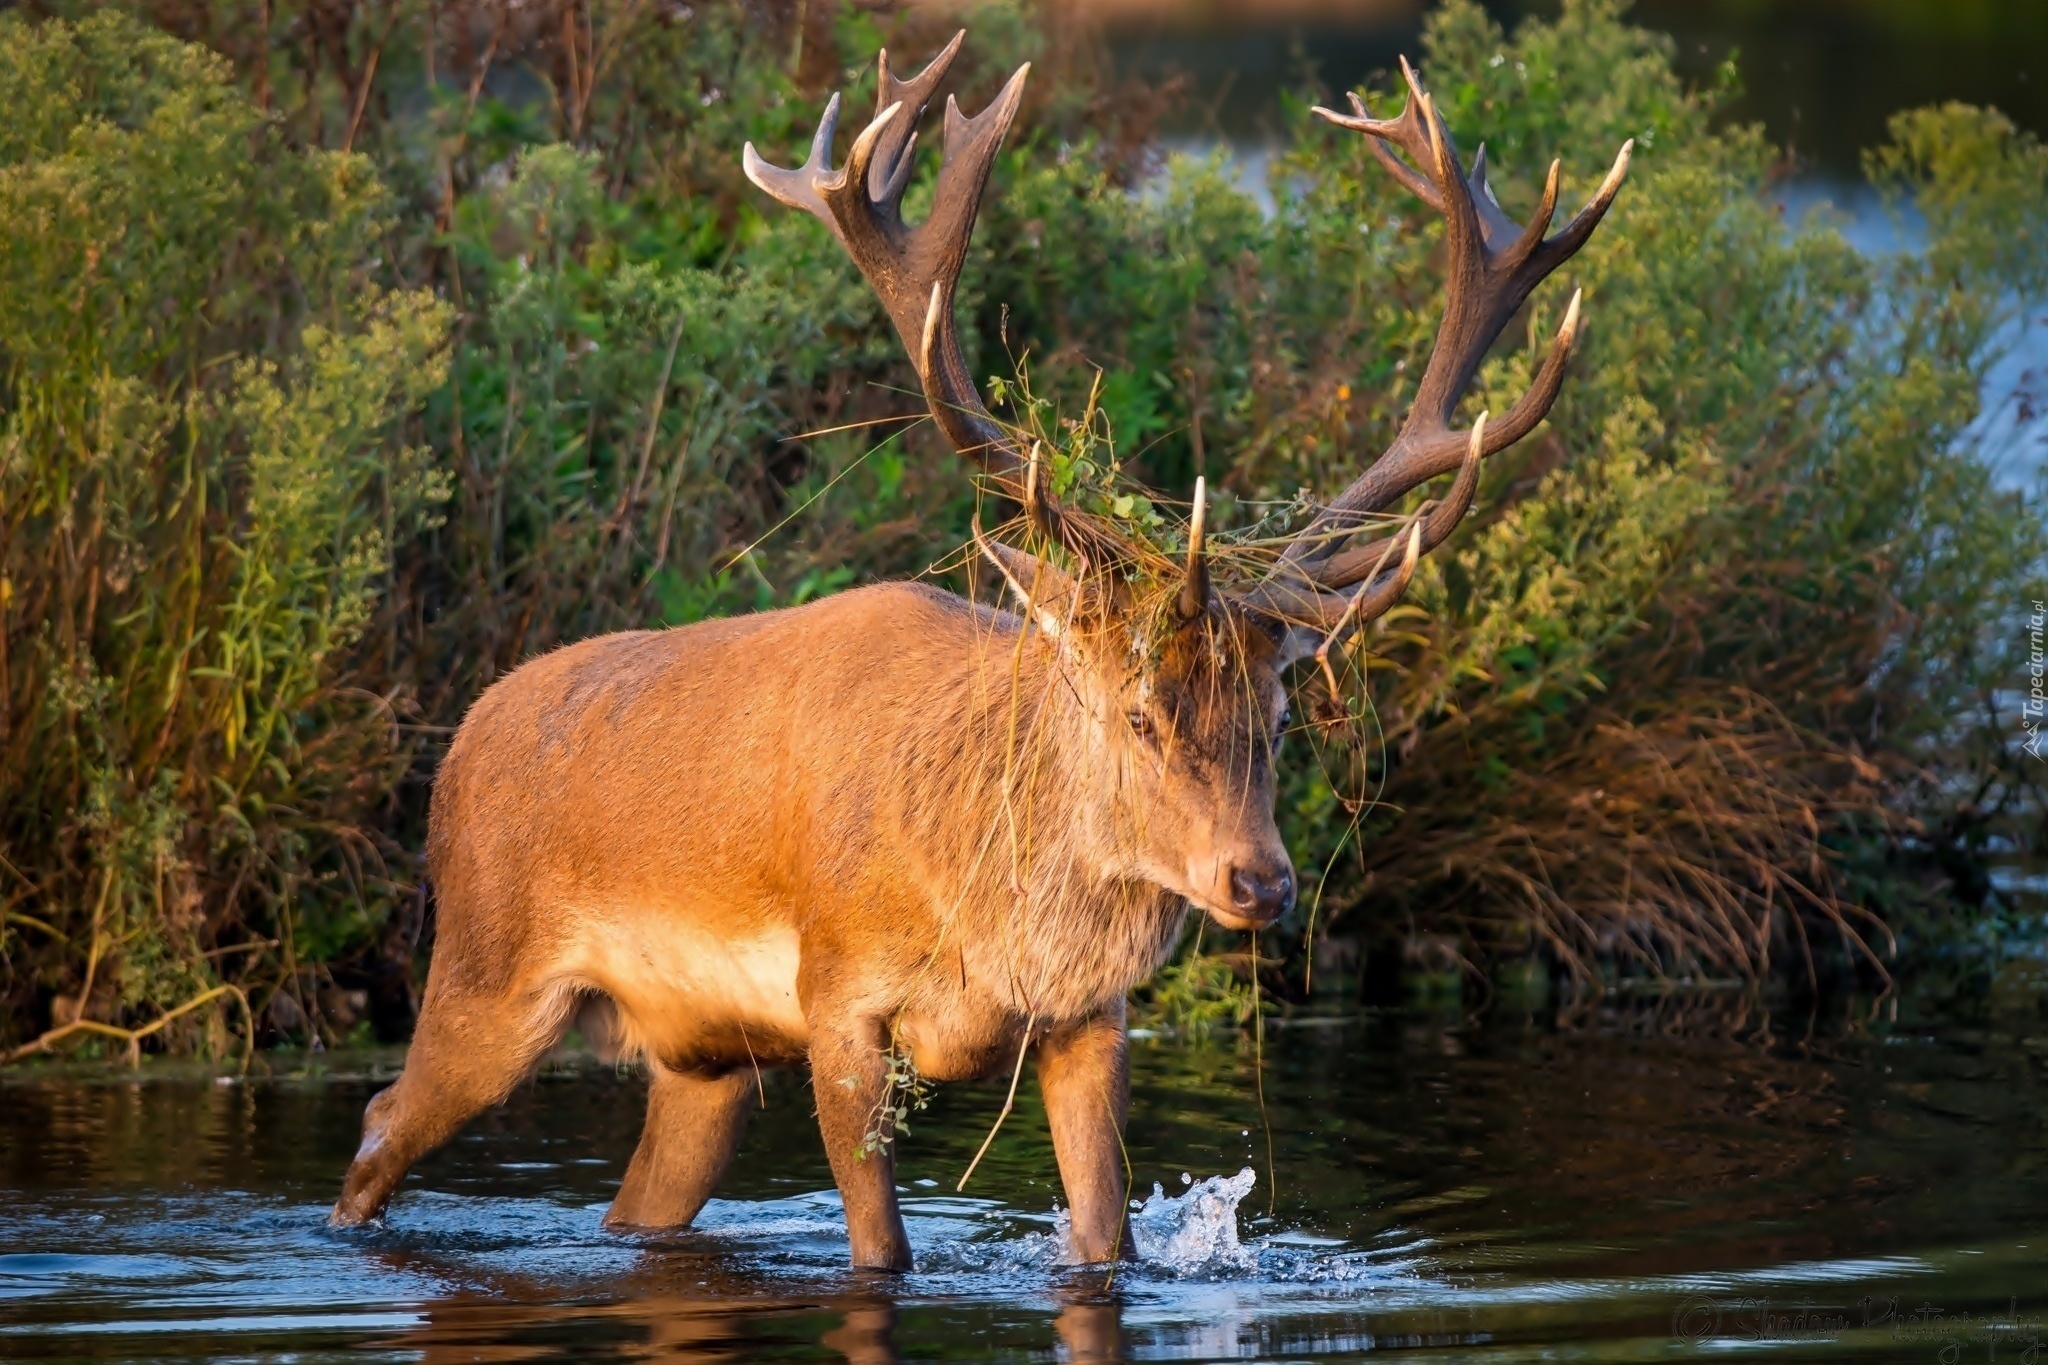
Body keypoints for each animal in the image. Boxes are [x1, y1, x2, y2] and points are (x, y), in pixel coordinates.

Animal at [327, 31, 1622, 1268]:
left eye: (1280, 716)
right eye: (1135, 711)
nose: (1258, 882)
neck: (990, 916)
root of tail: (462, 740)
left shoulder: (1092, 1020)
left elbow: (1102, 1242)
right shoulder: (836, 995)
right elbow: (881, 1249)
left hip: (700, 1056)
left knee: (632, 1200)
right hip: (485, 968)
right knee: (380, 1119)